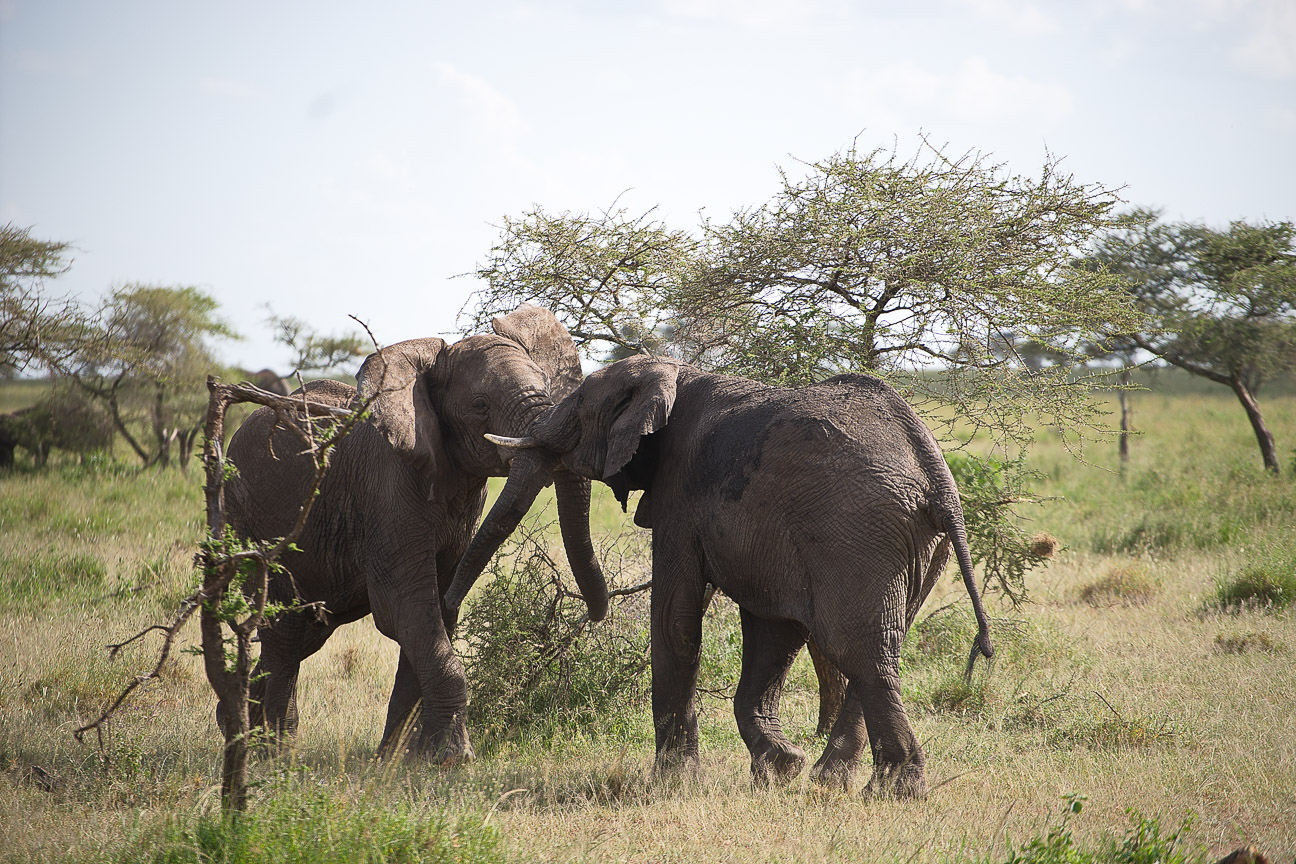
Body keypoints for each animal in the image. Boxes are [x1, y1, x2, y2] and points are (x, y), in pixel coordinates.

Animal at [220, 304, 609, 764]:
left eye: (548, 386)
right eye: (480, 405)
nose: (596, 614)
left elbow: (431, 617)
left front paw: (397, 762)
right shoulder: (388, 489)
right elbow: (406, 608)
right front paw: (453, 761)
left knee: (300, 636)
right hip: (249, 521)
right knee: (285, 633)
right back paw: (273, 756)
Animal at [446, 355, 994, 797]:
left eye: (579, 405)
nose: (449, 610)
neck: (672, 373)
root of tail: (938, 477)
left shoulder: (681, 492)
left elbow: (675, 616)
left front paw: (673, 782)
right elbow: (773, 631)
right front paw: (779, 769)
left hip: (859, 532)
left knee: (856, 646)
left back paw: (892, 793)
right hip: (915, 545)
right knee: (878, 645)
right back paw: (829, 780)